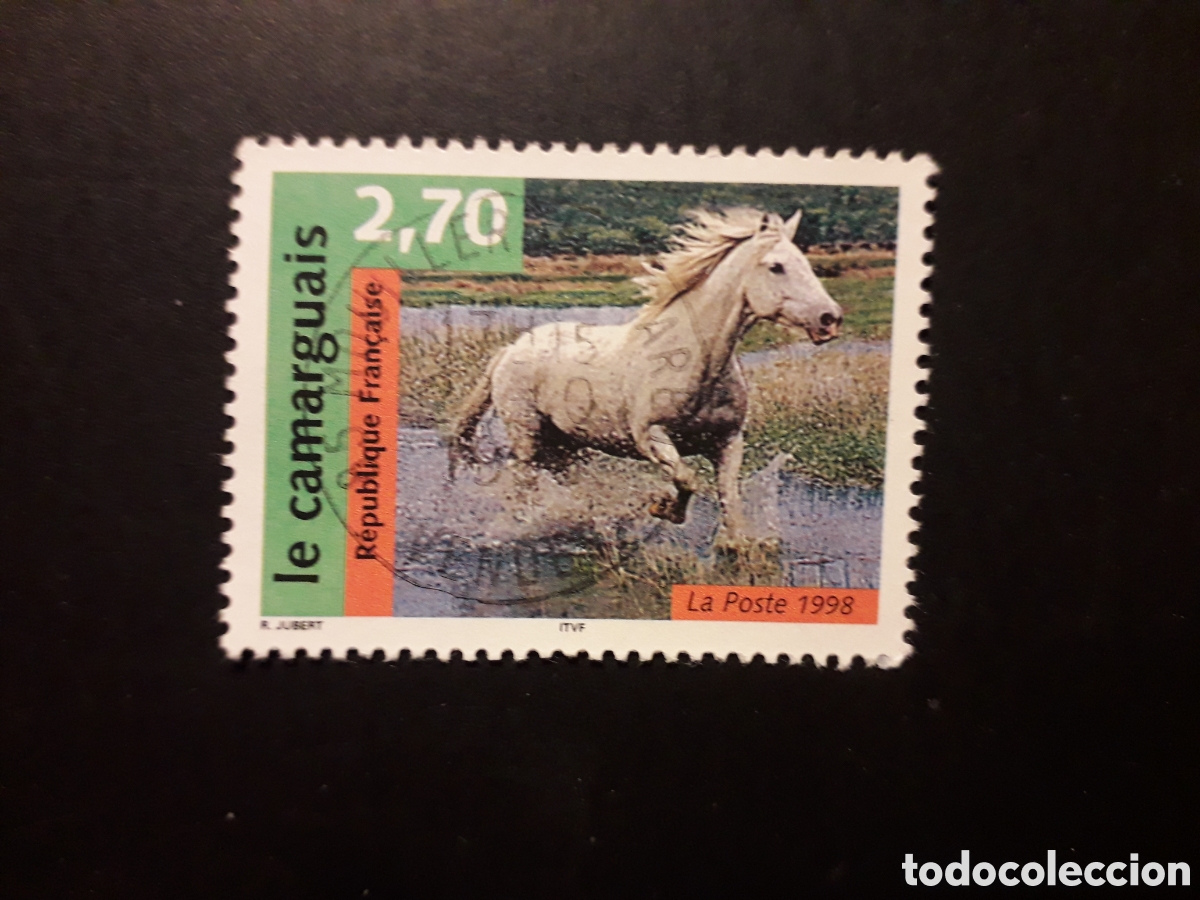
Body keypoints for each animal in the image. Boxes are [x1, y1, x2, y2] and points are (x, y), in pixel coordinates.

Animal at [452, 207, 843, 539]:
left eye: (806, 262)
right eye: (776, 266)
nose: (830, 319)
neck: (695, 361)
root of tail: (510, 349)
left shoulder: (728, 441)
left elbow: (729, 501)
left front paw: (736, 546)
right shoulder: (651, 436)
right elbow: (687, 479)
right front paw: (662, 508)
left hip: (566, 444)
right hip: (527, 437)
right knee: (522, 482)